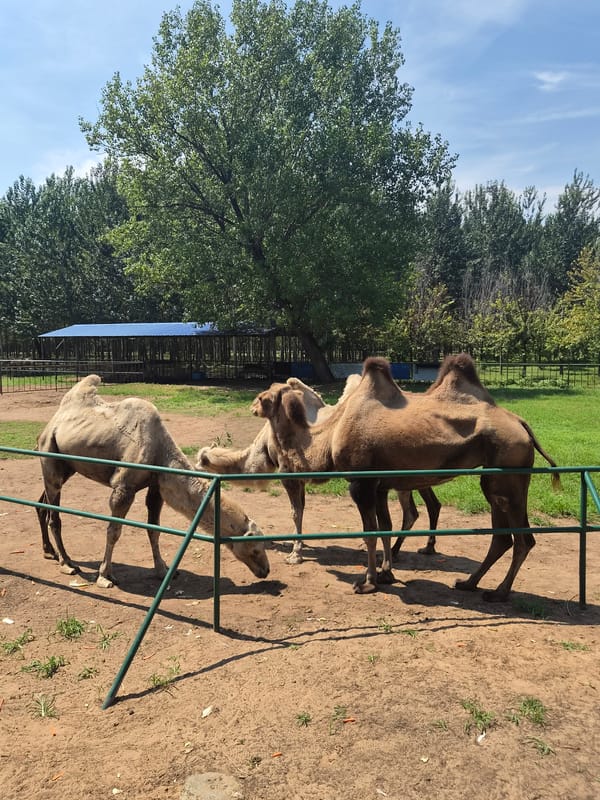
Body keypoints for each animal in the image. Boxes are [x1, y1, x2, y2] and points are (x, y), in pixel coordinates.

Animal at [36, 375, 270, 588]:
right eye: (255, 548)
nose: (266, 570)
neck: (161, 452)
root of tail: (51, 424)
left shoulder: (156, 487)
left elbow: (154, 529)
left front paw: (163, 571)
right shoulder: (124, 487)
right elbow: (114, 530)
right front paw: (105, 576)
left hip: (66, 465)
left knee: (42, 503)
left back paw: (49, 552)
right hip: (50, 453)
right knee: (54, 514)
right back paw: (67, 563)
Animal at [197, 376, 439, 564]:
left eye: (200, 461)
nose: (197, 475)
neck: (265, 446)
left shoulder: (289, 475)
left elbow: (295, 512)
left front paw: (295, 554)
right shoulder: (301, 477)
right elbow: (302, 509)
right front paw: (301, 545)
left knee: (411, 511)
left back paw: (395, 552)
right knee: (429, 505)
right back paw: (421, 548)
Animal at [252, 354, 560, 600]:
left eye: (263, 397)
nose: (253, 407)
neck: (329, 436)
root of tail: (522, 425)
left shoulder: (361, 483)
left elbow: (370, 533)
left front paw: (368, 583)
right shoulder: (379, 484)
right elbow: (385, 527)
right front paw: (386, 574)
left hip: (509, 472)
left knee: (523, 539)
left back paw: (499, 592)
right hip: (494, 478)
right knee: (502, 537)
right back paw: (469, 583)